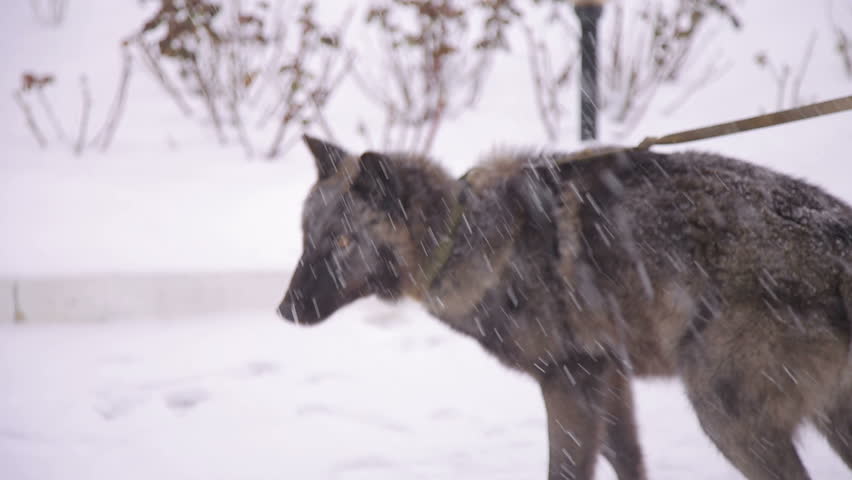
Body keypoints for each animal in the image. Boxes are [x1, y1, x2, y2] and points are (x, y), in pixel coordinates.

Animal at [278, 135, 852, 480]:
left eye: (343, 243)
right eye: (307, 239)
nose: (285, 311)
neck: (468, 236)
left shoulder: (569, 382)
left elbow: (565, 469)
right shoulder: (609, 380)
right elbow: (628, 461)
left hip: (724, 416)